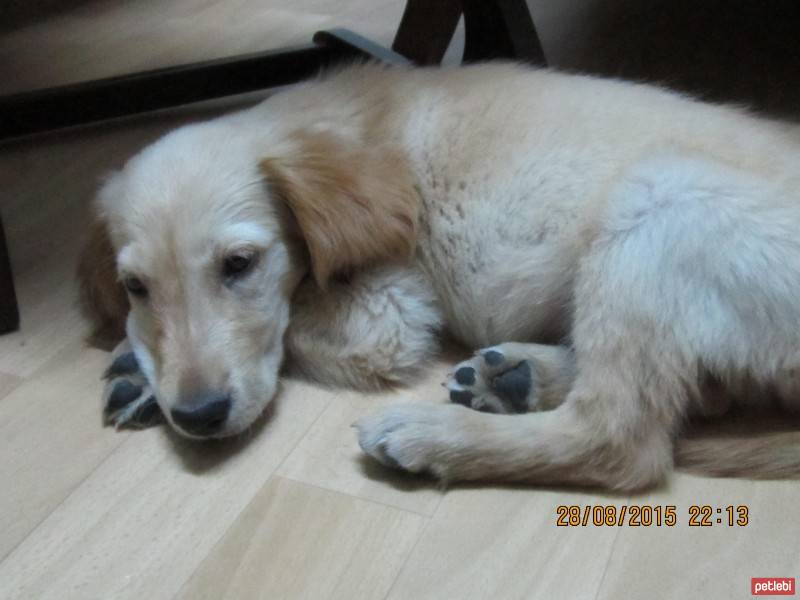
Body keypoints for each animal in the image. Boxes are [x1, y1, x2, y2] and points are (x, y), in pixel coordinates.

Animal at [78, 62, 800, 492]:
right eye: (138, 286)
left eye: (240, 265)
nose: (198, 416)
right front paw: (141, 368)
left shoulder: (388, 311)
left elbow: (287, 330)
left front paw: (139, 366)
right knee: (696, 394)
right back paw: (514, 377)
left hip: (654, 198)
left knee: (622, 439)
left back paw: (436, 433)